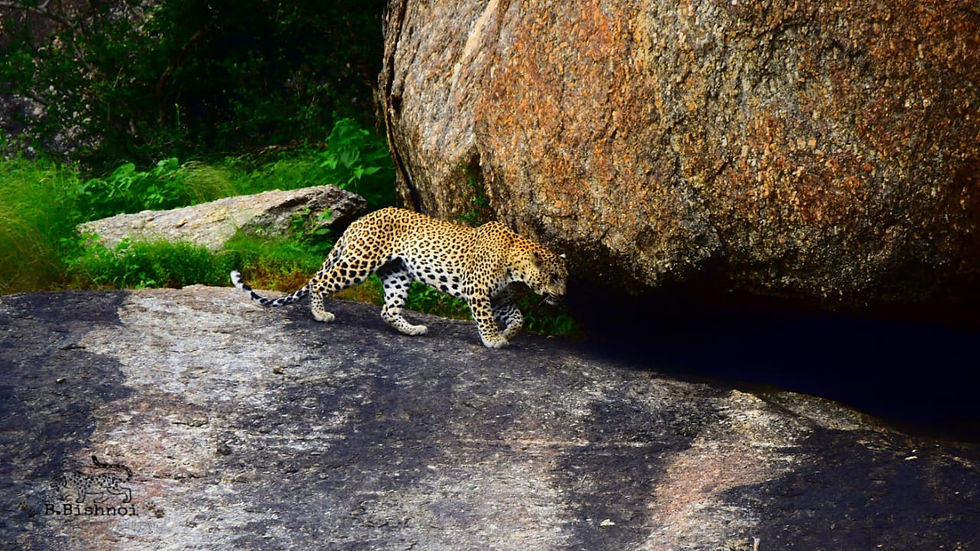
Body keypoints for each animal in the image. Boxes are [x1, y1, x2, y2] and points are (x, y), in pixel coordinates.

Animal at [231, 207, 567, 348]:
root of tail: (359, 219)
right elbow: (485, 319)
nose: (563, 295)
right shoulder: (478, 291)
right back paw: (320, 314)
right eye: (553, 277)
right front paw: (494, 339)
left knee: (387, 310)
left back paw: (412, 330)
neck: (515, 267)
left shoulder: (499, 298)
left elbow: (519, 318)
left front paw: (507, 333)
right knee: (319, 282)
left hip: (397, 275)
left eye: (563, 277)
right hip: (359, 263)